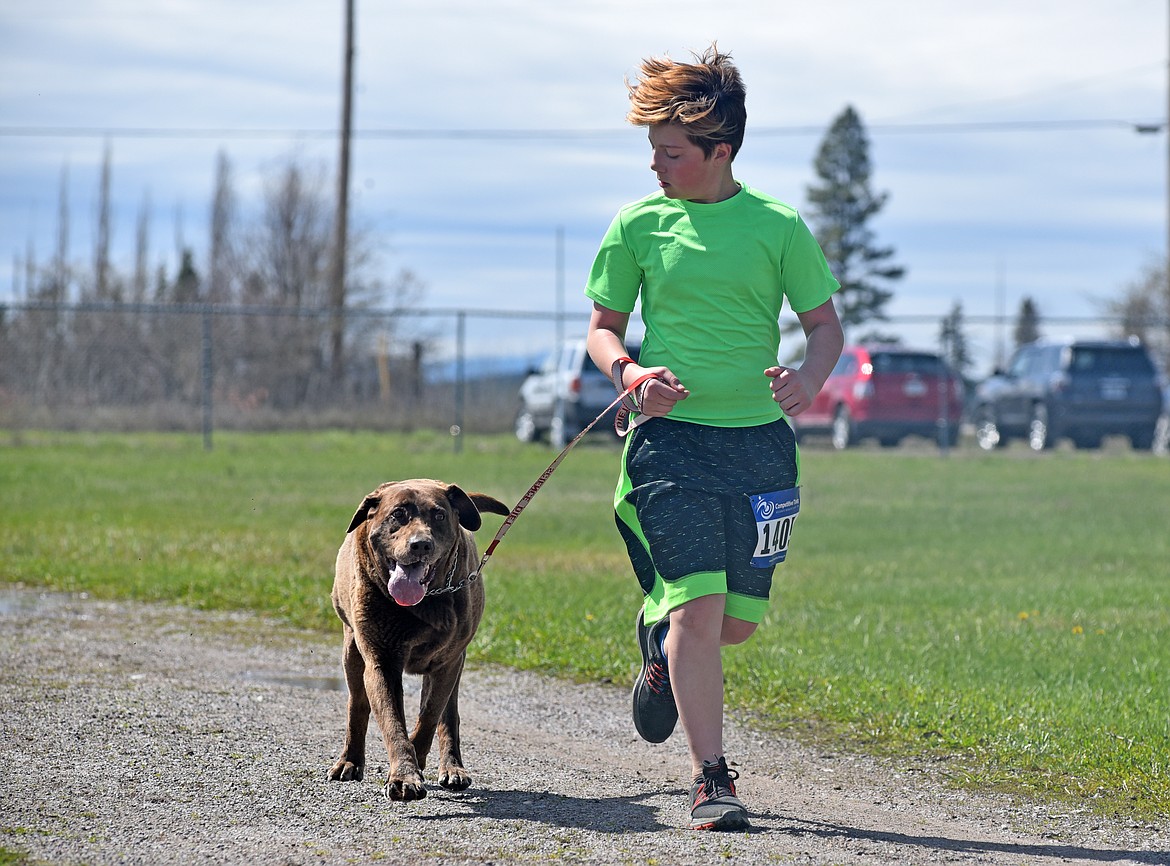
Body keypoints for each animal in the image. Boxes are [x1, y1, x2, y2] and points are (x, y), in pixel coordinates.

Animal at [329, 479, 512, 800]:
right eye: (398, 514)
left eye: (439, 515)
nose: (421, 544)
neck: (424, 601)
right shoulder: (381, 661)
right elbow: (392, 721)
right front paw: (404, 774)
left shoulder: (447, 662)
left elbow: (430, 715)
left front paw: (415, 760)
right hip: (351, 647)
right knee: (357, 703)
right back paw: (349, 761)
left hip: (455, 662)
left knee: (448, 715)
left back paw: (452, 768)